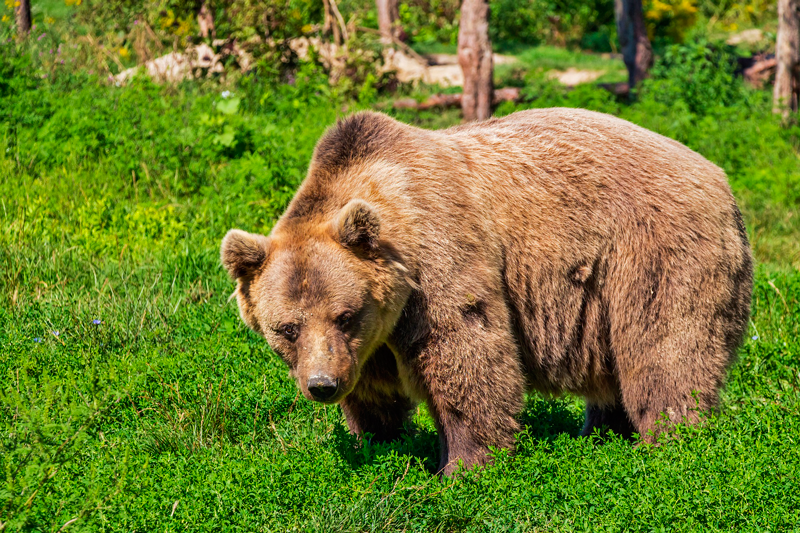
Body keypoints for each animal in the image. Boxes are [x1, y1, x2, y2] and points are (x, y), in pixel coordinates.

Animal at [221, 108, 753, 476]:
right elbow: (374, 392)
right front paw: (380, 441)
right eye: (286, 328)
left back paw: (670, 440)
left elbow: (467, 355)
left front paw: (463, 465)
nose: (322, 385)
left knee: (665, 350)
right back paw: (601, 433)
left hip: (653, 252)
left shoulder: (439, 260)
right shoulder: (371, 339)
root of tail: (720, 178)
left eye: (344, 314)